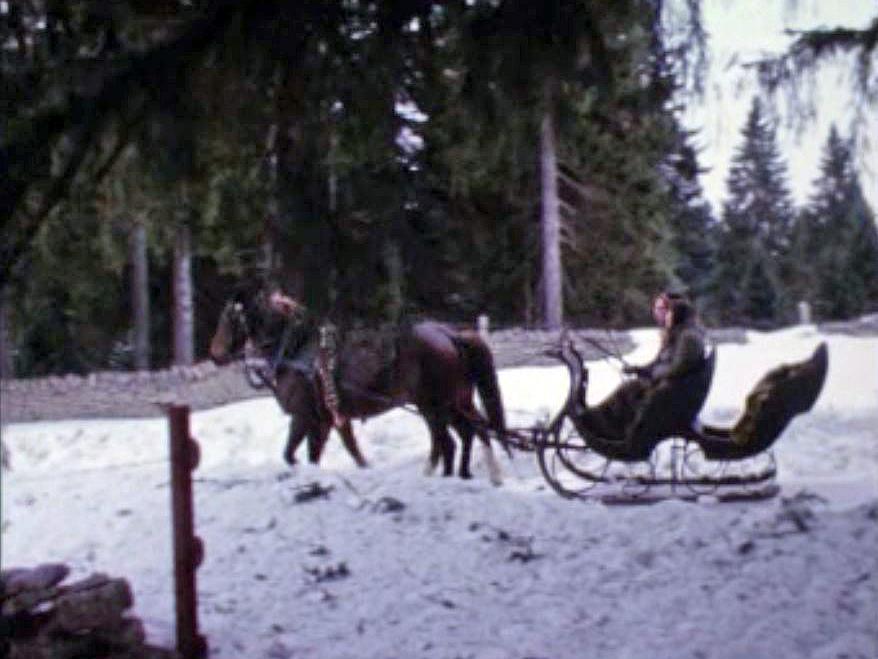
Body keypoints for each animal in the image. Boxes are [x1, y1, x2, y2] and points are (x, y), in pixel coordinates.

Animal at [210, 292, 508, 484]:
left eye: (229, 318)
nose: (214, 353)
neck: (296, 352)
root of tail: (449, 334)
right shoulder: (325, 421)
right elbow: (325, 453)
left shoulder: (304, 418)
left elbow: (293, 454)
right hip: (455, 403)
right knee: (473, 431)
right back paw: (476, 475)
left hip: (433, 406)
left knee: (448, 441)